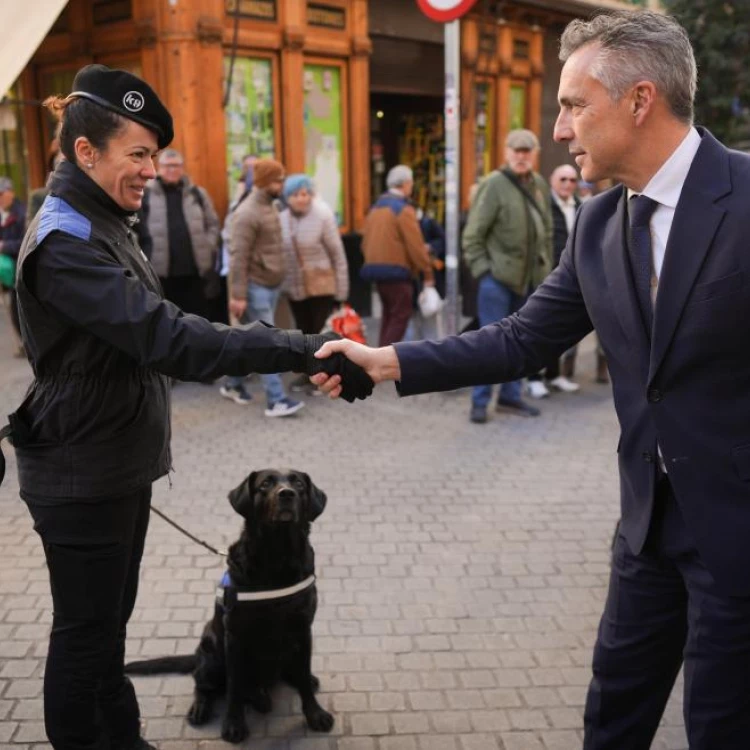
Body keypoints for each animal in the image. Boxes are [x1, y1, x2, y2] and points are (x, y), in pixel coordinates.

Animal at [125, 470, 332, 748]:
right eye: (265, 484)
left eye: (298, 483)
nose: (286, 494)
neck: (278, 555)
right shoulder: (234, 637)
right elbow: (234, 687)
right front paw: (233, 724)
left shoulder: (302, 629)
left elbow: (304, 680)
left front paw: (315, 713)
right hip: (212, 651)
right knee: (202, 683)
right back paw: (201, 707)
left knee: (294, 673)